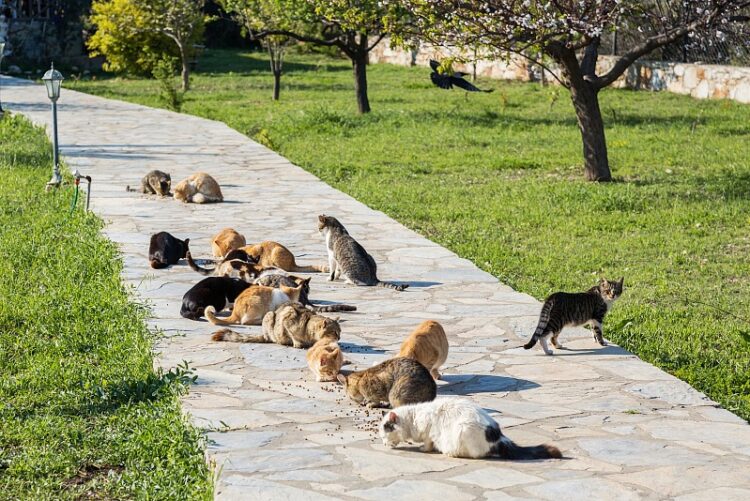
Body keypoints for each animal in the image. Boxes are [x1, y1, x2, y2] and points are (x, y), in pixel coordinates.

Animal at [212, 300, 340, 348]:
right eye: (334, 332)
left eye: (340, 332)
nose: (339, 338)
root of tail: (264, 335)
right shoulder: (287, 318)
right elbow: (293, 336)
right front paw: (298, 343)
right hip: (269, 315)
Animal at [382, 396, 564, 458]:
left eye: (384, 435)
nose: (383, 443)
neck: (413, 417)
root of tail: (498, 437)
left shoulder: (429, 432)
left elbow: (428, 443)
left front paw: (424, 449)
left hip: (463, 430)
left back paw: (450, 453)